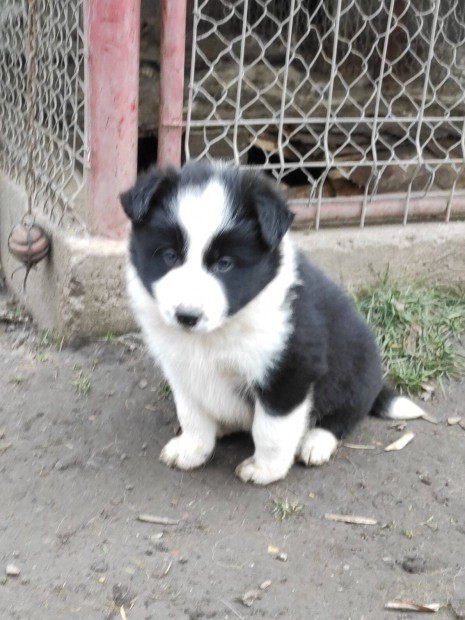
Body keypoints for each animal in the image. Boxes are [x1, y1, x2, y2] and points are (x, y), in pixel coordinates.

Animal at [120, 160, 424, 484]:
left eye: (224, 263)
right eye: (169, 256)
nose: (187, 316)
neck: (217, 333)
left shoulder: (289, 372)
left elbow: (271, 429)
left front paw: (265, 469)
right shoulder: (182, 371)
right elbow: (192, 415)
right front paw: (191, 450)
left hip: (355, 372)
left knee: (343, 417)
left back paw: (316, 442)